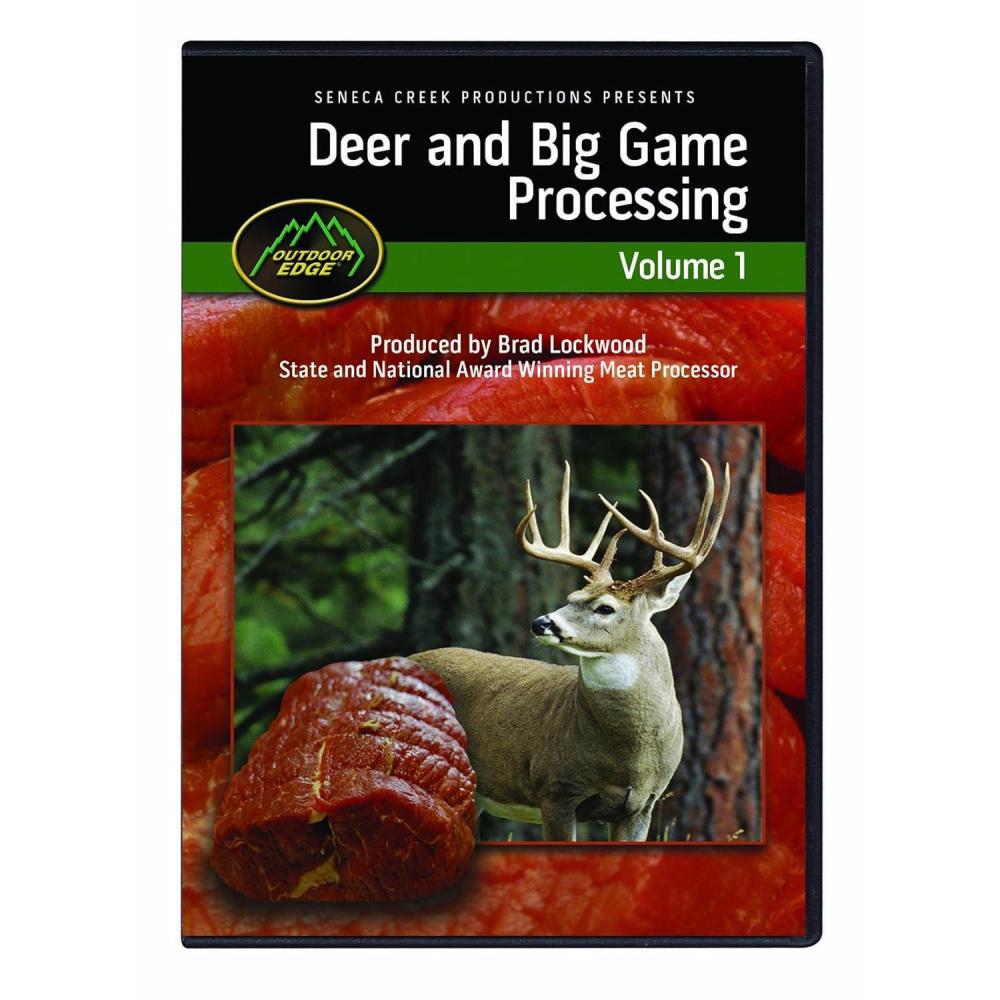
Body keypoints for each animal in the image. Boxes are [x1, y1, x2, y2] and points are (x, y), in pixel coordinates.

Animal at [412, 458, 730, 842]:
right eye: (571, 597)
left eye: (605, 608)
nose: (541, 623)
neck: (629, 754)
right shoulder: (556, 789)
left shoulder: (643, 805)